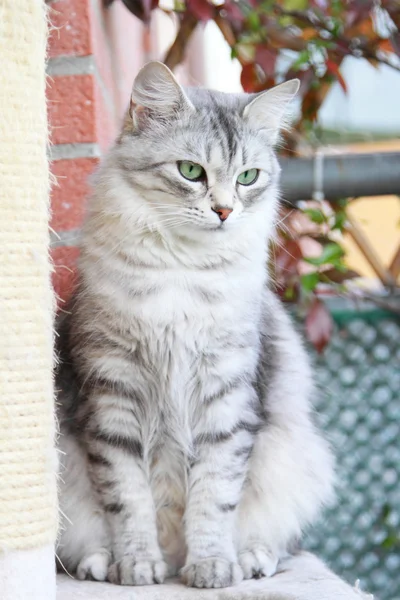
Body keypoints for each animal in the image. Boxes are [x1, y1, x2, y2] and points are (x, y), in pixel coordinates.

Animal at [56, 62, 336, 592]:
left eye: (248, 177)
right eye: (191, 171)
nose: (224, 210)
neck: (181, 272)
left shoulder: (226, 396)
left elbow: (214, 498)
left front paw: (211, 569)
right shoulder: (112, 393)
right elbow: (128, 499)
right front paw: (138, 567)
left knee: (272, 540)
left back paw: (247, 560)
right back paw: (104, 563)